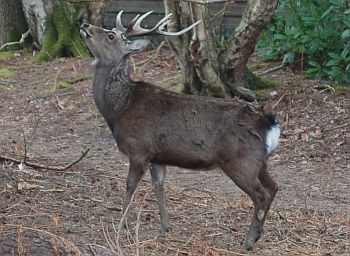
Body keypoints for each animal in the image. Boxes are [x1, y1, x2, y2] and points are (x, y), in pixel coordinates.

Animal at [80, 11, 280, 251]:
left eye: (110, 36)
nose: (85, 25)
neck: (119, 109)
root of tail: (268, 121)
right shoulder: (157, 156)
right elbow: (159, 186)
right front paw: (166, 227)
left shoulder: (139, 149)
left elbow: (130, 186)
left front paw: (120, 227)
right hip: (260, 162)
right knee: (274, 187)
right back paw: (258, 235)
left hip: (240, 162)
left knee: (261, 195)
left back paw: (248, 242)